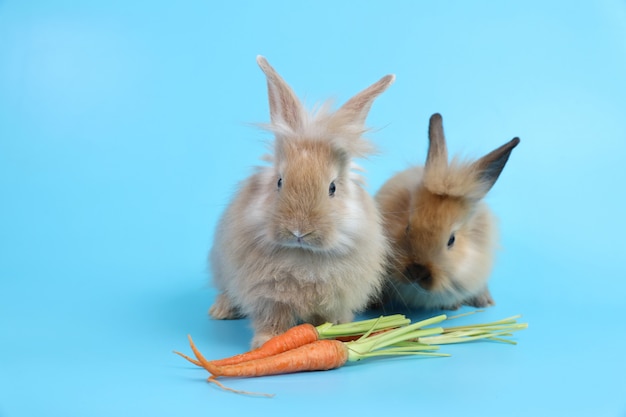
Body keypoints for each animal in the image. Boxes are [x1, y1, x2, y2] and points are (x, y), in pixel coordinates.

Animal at [210, 56, 394, 348]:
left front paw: (336, 335)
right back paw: (220, 311)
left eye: (332, 187)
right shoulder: (270, 300)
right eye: (279, 181)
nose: (299, 231)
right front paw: (265, 343)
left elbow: (325, 320)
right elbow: (273, 320)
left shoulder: (333, 299)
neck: (303, 255)